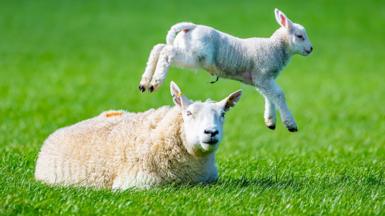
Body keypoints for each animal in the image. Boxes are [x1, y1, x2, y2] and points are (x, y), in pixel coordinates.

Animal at [138, 8, 312, 132]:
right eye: (300, 36)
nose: (311, 49)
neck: (276, 47)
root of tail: (192, 27)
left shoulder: (261, 79)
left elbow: (269, 96)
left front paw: (270, 121)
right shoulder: (263, 75)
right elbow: (279, 95)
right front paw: (290, 124)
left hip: (186, 50)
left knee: (158, 48)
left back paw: (145, 83)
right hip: (193, 56)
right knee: (166, 52)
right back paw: (156, 82)